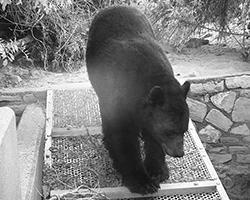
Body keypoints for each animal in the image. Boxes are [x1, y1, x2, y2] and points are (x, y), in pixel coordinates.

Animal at [86, 5, 189, 194]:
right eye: (170, 131)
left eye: (184, 130)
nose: (179, 153)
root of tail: (114, 6)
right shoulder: (117, 96)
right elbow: (122, 137)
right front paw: (142, 181)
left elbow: (152, 138)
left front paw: (158, 170)